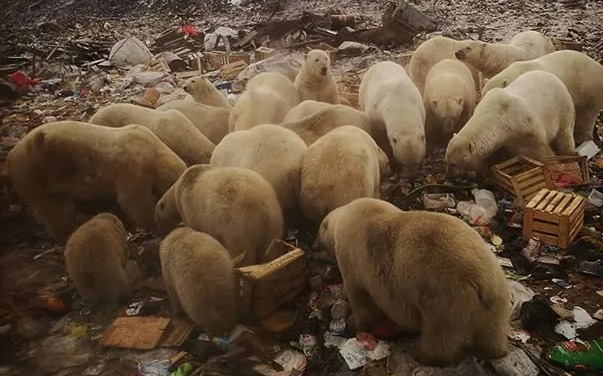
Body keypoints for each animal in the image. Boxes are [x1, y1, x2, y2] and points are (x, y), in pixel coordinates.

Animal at [6, 121, 186, 244]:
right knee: (55, 210)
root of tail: (11, 157)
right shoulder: (134, 166)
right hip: (37, 175)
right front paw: (156, 226)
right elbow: (133, 201)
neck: (154, 149)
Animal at [156, 165, 284, 268]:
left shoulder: (189, 210)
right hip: (274, 220)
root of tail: (260, 207)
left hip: (237, 225)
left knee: (243, 252)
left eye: (157, 221)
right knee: (269, 249)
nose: (159, 234)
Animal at [314, 197, 512, 368]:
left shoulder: (352, 258)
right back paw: (494, 352)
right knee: (493, 331)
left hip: (446, 301)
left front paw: (353, 323)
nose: (314, 245)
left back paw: (422, 354)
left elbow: (360, 297)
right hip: (497, 297)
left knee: (439, 336)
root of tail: (481, 283)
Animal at [446, 70, 580, 176]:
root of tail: (552, 76)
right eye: (446, 160)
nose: (449, 176)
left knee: (565, 134)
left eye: (453, 163)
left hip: (562, 106)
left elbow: (541, 147)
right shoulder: (504, 140)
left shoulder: (525, 124)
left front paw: (555, 167)